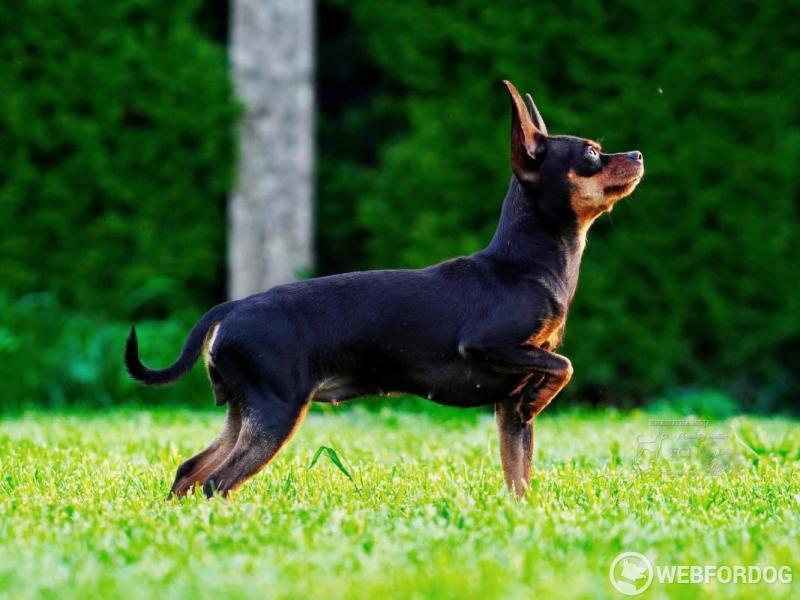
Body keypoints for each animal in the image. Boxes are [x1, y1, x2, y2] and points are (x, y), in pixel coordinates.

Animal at [125, 80, 644, 498]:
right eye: (592, 155)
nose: (637, 154)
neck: (523, 265)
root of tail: (229, 309)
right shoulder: (486, 345)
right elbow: (563, 364)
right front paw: (545, 395)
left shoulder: (510, 411)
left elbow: (518, 475)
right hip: (275, 412)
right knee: (215, 482)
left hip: (245, 413)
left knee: (190, 471)